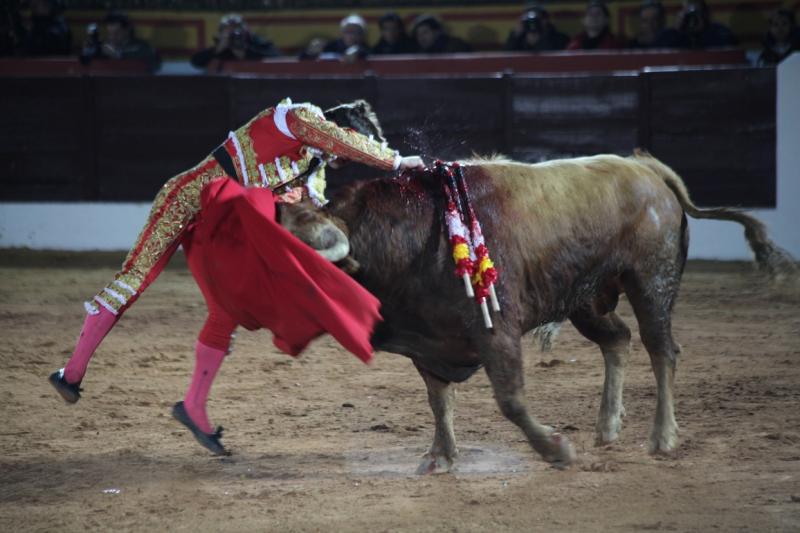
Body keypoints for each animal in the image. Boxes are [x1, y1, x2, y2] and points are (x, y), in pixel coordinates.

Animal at [278, 151, 792, 474]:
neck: (409, 235)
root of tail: (645, 168)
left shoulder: (496, 331)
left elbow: (510, 400)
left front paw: (555, 449)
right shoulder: (430, 343)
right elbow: (439, 402)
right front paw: (440, 457)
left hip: (652, 283)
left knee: (661, 348)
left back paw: (662, 437)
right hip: (587, 300)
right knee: (618, 340)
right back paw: (607, 426)